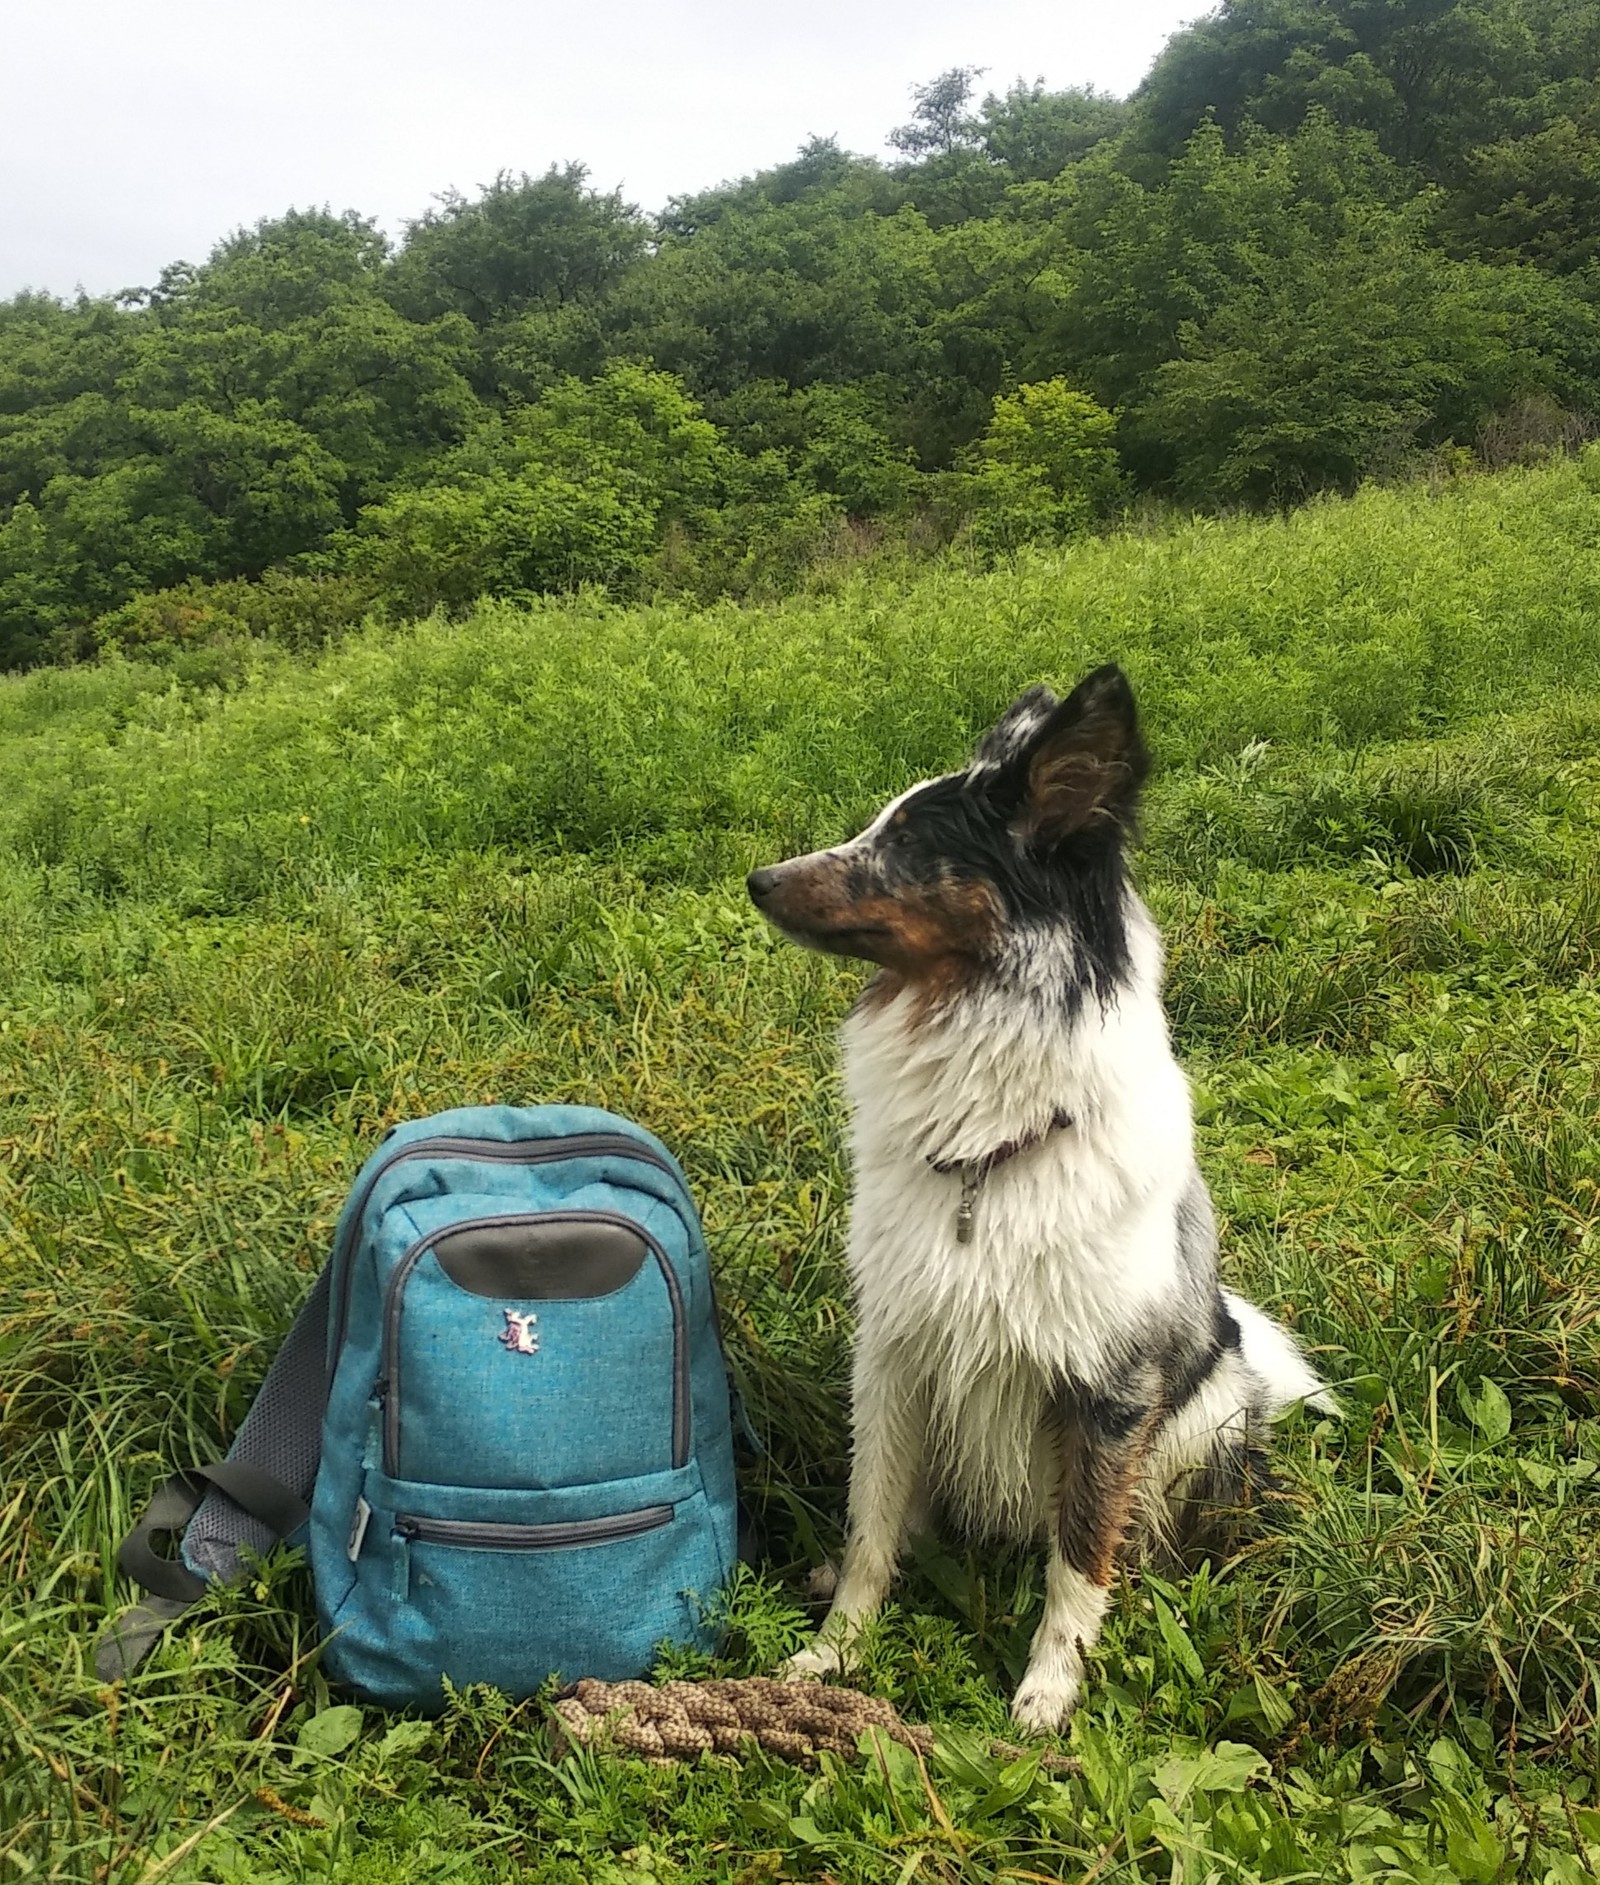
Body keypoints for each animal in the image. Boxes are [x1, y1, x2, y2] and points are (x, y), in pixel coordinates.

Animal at [750, 667, 1334, 1734]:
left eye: (911, 845)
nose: (758, 880)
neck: (990, 1152)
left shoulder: (1110, 1392)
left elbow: (1079, 1556)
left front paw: (1046, 1695)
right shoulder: (894, 1357)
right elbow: (870, 1525)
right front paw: (836, 1652)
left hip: (1209, 1411)